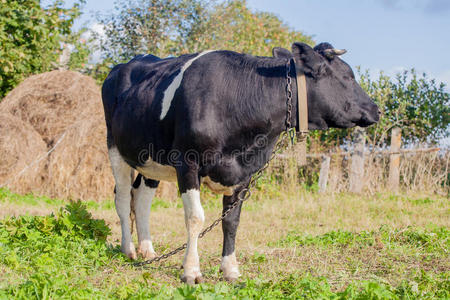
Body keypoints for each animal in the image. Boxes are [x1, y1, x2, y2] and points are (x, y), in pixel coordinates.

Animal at [101, 41, 380, 284]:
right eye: (348, 76)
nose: (376, 109)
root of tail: (123, 66)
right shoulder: (187, 163)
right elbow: (195, 218)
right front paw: (191, 271)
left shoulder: (245, 172)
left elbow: (231, 221)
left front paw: (230, 270)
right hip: (115, 147)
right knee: (123, 198)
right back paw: (128, 249)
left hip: (150, 159)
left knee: (142, 198)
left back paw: (147, 249)